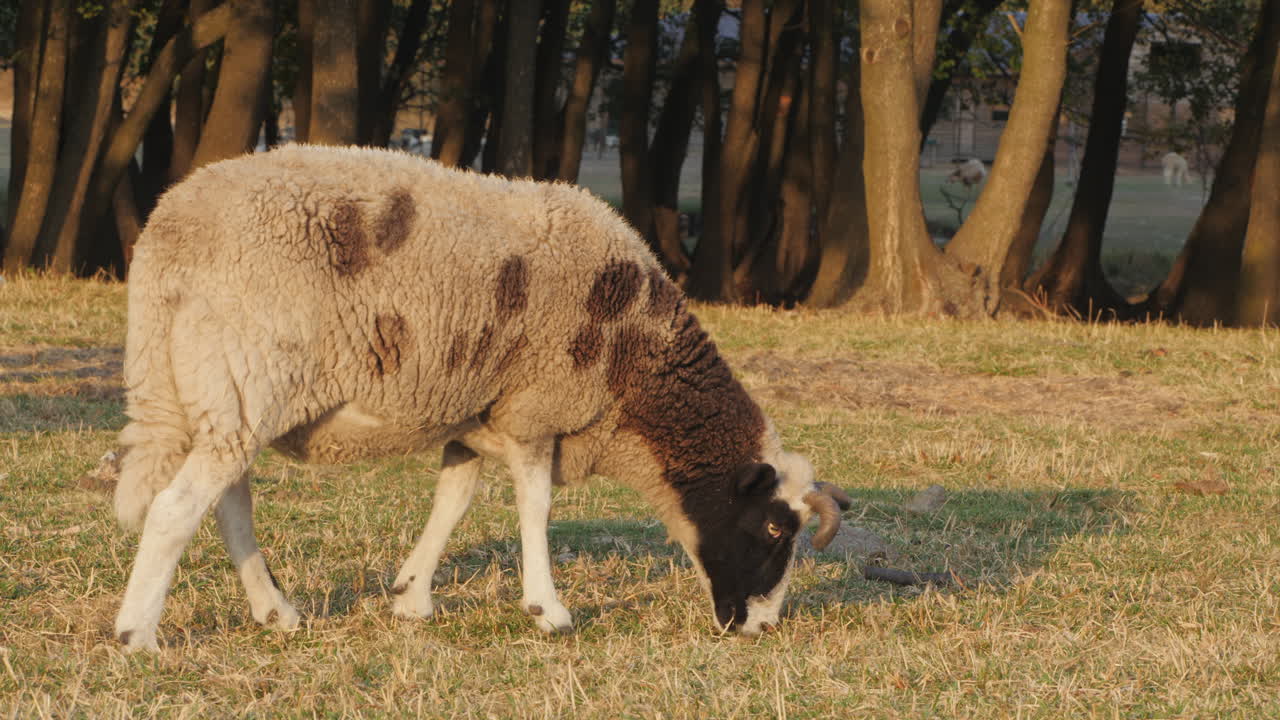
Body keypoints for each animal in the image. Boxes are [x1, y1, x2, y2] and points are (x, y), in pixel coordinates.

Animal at [112, 144, 847, 651]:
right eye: (775, 528)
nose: (760, 627)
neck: (634, 365)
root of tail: (166, 240)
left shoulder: (474, 411)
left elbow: (453, 500)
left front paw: (411, 597)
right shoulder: (535, 408)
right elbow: (536, 506)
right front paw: (548, 610)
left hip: (218, 387)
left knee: (228, 501)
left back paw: (275, 613)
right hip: (246, 374)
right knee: (178, 507)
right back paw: (137, 634)